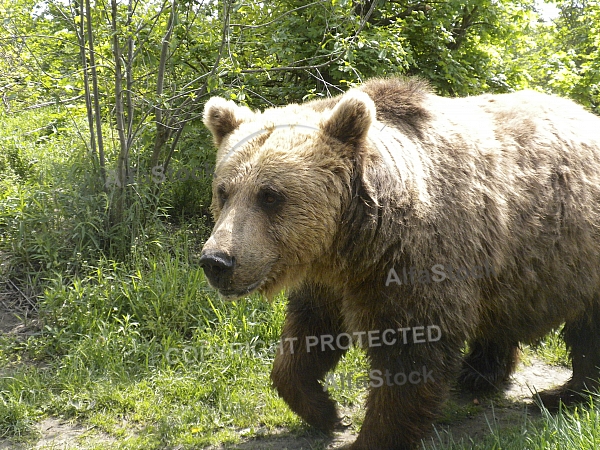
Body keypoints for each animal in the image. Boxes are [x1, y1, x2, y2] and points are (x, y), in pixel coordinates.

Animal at [199, 79, 600, 448]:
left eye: (270, 196)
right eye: (224, 191)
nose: (216, 260)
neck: (358, 240)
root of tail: (586, 114)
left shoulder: (417, 264)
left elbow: (408, 359)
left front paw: (371, 436)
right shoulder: (330, 279)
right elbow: (307, 336)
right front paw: (326, 411)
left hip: (575, 253)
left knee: (588, 331)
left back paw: (563, 394)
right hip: (508, 264)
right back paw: (478, 373)